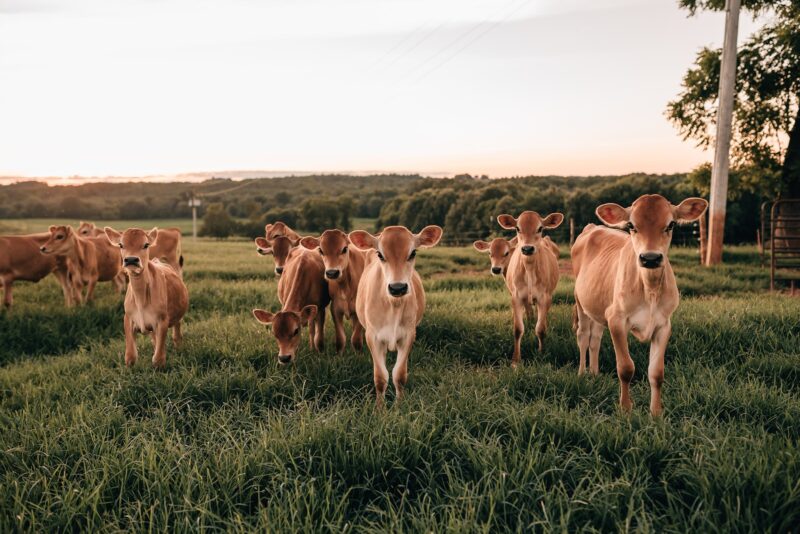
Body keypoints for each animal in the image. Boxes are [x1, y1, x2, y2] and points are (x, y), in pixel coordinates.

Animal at [348, 225, 444, 406]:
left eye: (413, 253)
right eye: (380, 254)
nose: (397, 287)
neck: (393, 305)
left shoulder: (408, 335)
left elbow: (399, 375)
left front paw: (400, 405)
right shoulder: (373, 337)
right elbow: (380, 377)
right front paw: (380, 408)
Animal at [494, 211, 564, 366]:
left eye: (540, 228)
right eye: (517, 228)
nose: (527, 248)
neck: (530, 268)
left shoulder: (545, 298)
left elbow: (541, 329)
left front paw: (542, 354)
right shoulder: (516, 297)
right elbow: (518, 329)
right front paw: (515, 360)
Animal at [572, 195, 708, 416]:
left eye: (671, 224)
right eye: (631, 225)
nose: (650, 258)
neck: (649, 289)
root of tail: (594, 226)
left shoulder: (663, 325)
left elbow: (657, 372)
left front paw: (656, 413)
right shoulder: (616, 320)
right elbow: (626, 368)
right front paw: (626, 409)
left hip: (599, 308)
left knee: (595, 339)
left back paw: (595, 373)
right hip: (580, 303)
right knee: (583, 337)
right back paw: (583, 373)